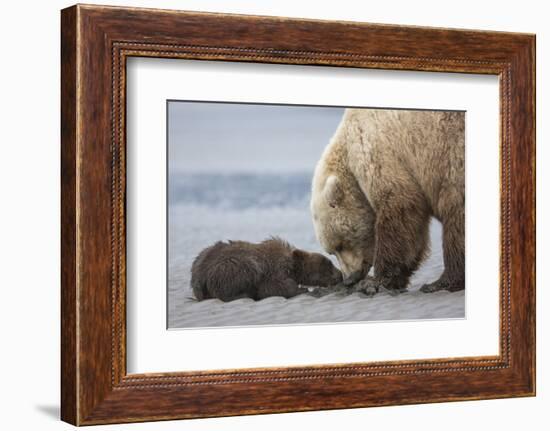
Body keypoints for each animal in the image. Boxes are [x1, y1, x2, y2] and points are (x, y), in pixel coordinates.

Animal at [310, 109, 466, 296]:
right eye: (332, 251)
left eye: (340, 245)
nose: (349, 279)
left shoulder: (378, 149)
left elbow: (400, 208)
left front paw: (375, 282)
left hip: (453, 157)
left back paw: (440, 283)